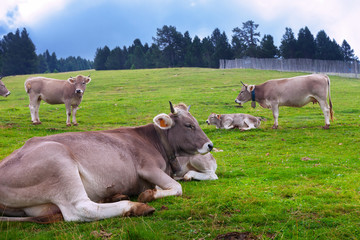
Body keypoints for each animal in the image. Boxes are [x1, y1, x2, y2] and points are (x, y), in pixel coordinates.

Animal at [0, 101, 214, 223]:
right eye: (189, 125)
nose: (210, 145)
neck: (153, 139)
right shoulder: (148, 168)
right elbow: (177, 187)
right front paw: (148, 195)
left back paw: (114, 197)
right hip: (58, 161)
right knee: (79, 209)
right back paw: (134, 206)